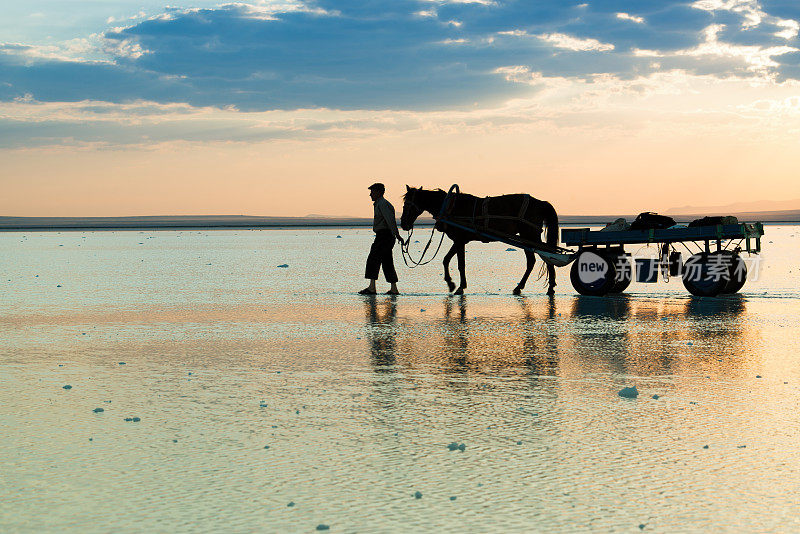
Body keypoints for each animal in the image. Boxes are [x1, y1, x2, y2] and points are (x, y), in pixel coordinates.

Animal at [398, 186, 556, 298]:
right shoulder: (459, 240)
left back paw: (538, 287)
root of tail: (541, 203)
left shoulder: (460, 240)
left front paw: (460, 287)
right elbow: (446, 260)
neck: (451, 207)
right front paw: (451, 283)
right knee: (539, 258)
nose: (404, 224)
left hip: (530, 234)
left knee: (543, 257)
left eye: (407, 205)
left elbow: (460, 264)